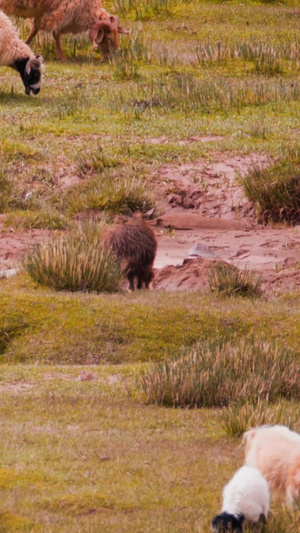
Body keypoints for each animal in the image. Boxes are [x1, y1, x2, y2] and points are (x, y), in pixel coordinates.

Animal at [0, 0, 129, 61]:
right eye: (108, 38)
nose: (112, 57)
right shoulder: (59, 12)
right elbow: (56, 34)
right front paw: (61, 56)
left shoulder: (42, 13)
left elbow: (34, 30)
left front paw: (26, 44)